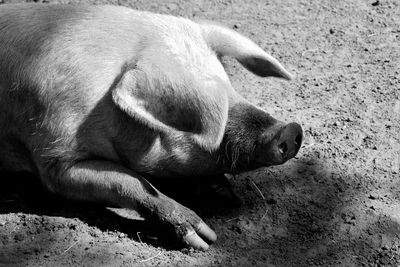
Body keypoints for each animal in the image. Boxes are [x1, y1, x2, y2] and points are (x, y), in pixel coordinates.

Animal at [0, 3, 302, 251]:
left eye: (231, 87)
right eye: (202, 118)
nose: (291, 130)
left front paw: (224, 193)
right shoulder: (52, 156)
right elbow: (129, 181)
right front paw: (205, 239)